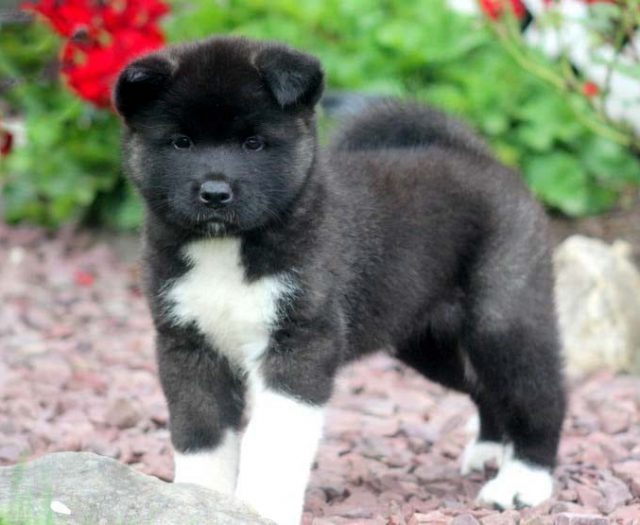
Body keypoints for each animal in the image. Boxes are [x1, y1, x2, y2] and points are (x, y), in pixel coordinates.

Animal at [114, 36, 564, 524]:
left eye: (253, 143)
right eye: (181, 142)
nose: (214, 193)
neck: (228, 248)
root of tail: (477, 155)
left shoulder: (300, 344)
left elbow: (274, 439)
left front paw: (263, 508)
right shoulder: (188, 346)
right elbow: (201, 435)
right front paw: (197, 501)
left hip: (502, 319)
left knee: (539, 394)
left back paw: (523, 481)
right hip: (425, 344)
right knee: (484, 388)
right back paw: (489, 451)